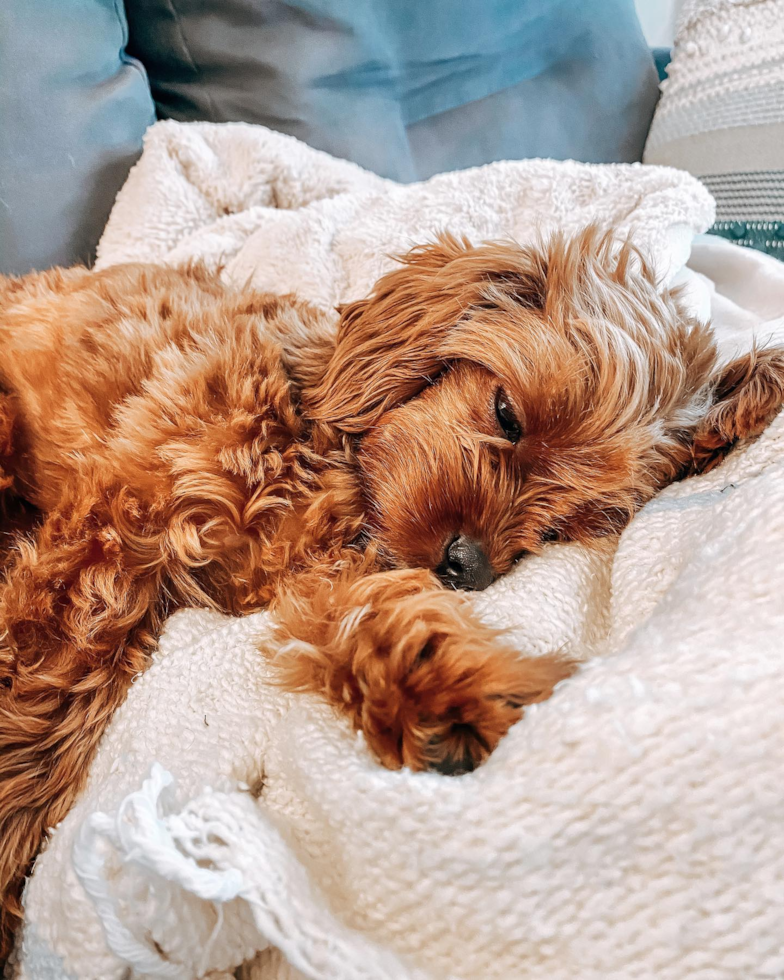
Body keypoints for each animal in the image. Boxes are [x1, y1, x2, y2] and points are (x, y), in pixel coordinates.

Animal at [0, 226, 780, 952]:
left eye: (563, 524)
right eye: (507, 414)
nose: (469, 565)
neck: (326, 455)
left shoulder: (332, 569)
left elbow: (377, 621)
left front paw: (459, 696)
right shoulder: (104, 546)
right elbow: (40, 688)